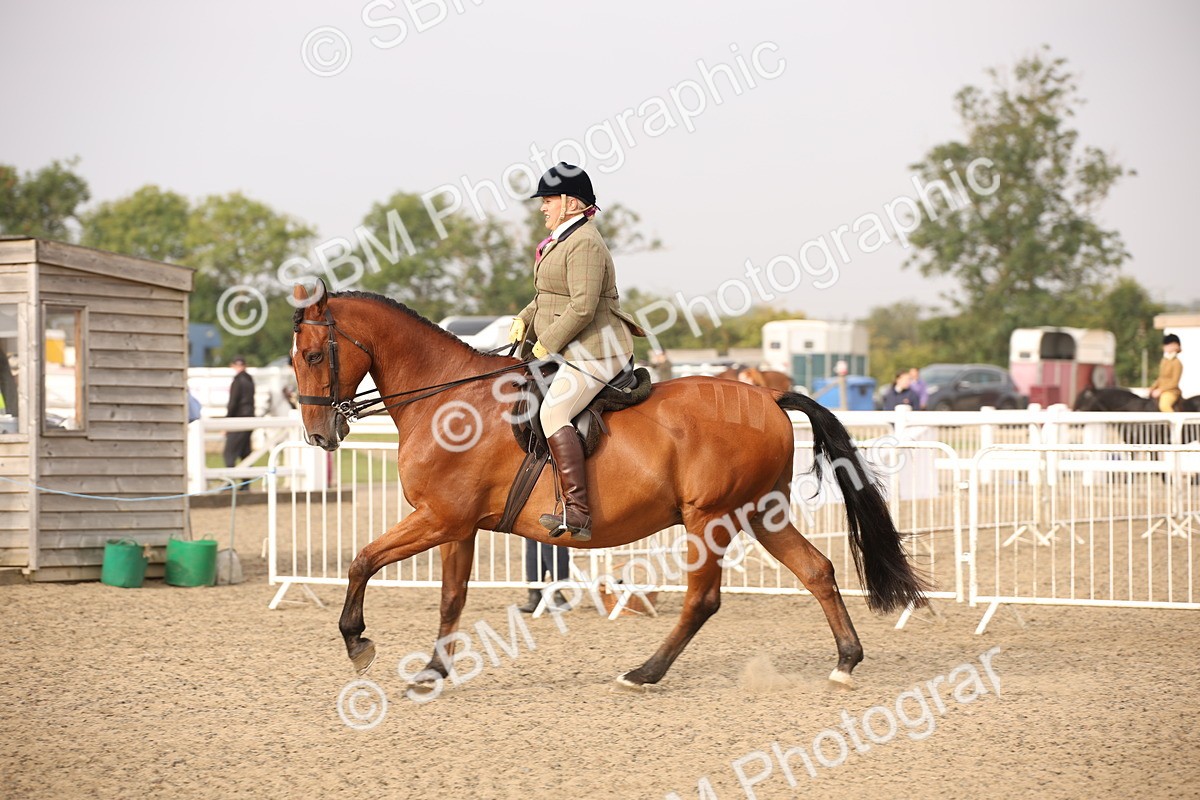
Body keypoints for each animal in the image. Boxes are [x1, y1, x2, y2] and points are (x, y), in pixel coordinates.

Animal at [289, 283, 927, 689]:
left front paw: (358, 642)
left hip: (710, 519)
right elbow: (450, 599)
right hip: (759, 513)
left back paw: (644, 673)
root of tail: (768, 394)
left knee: (703, 599)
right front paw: (432, 672)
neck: (448, 399)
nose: (320, 436)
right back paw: (846, 662)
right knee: (817, 570)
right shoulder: (457, 526)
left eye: (316, 355)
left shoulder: (439, 518)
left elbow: (362, 559)